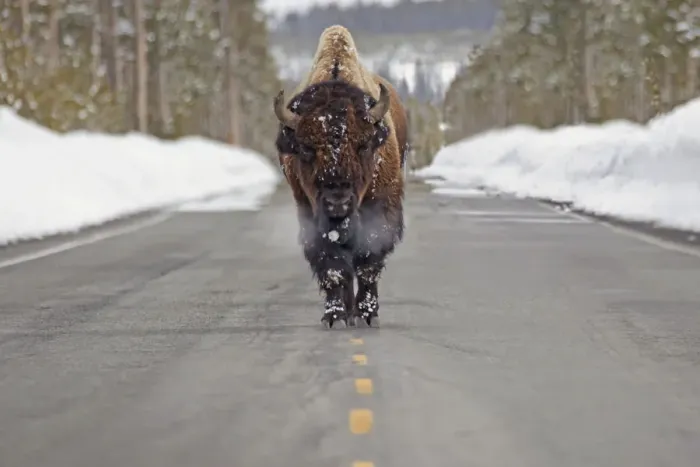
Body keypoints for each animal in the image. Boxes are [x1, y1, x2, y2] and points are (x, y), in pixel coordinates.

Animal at [273, 25, 409, 329]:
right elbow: (333, 265)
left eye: (364, 144)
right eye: (305, 148)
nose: (338, 202)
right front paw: (335, 316)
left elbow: (368, 262)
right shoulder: (311, 213)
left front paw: (367, 315)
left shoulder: (380, 210)